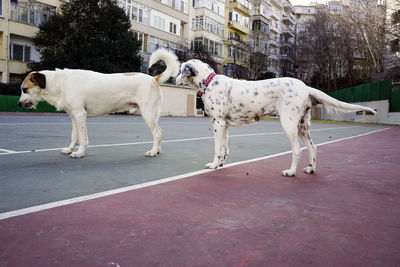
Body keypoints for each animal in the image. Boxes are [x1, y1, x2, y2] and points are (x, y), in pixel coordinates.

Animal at [18, 48, 178, 159]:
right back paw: (157, 150)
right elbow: (74, 136)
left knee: (157, 134)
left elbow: (82, 138)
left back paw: (153, 152)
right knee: (160, 133)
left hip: (148, 114)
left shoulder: (80, 115)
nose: (19, 104)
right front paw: (70, 149)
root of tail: (153, 79)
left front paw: (79, 153)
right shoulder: (74, 116)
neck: (60, 83)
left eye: (25, 89)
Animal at [175, 59, 376, 177]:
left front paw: (213, 164)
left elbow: (217, 148)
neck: (209, 83)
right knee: (313, 148)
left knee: (297, 150)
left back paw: (291, 172)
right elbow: (224, 147)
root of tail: (306, 87)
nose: (175, 78)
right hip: (302, 126)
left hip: (289, 124)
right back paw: (310, 169)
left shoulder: (218, 123)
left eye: (180, 69)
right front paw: (221, 164)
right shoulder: (224, 125)